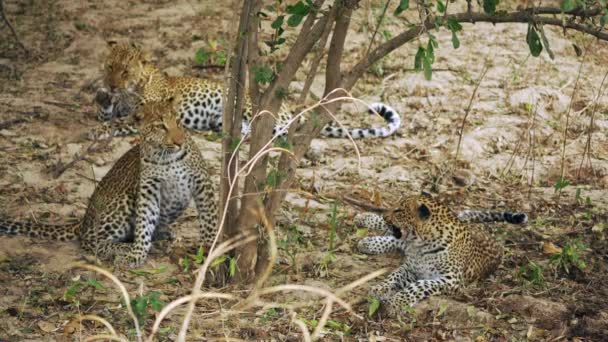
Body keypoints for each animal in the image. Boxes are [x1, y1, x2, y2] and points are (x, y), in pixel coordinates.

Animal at [0, 97, 218, 268]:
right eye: (160, 126)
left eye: (179, 123)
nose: (179, 142)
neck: (166, 156)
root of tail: (83, 220)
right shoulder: (148, 189)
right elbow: (143, 224)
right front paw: (137, 253)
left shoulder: (201, 181)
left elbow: (209, 217)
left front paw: (210, 244)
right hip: (123, 200)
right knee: (90, 241)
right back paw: (127, 247)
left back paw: (163, 236)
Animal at [88, 41, 402, 140]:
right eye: (109, 67)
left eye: (125, 71)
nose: (112, 83)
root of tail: (291, 110)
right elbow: (109, 114)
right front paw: (102, 97)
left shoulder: (149, 114)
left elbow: (119, 123)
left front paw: (97, 131)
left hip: (254, 108)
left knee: (274, 132)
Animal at [356, 195, 528, 316]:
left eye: (399, 211)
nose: (385, 216)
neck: (421, 245)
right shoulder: (409, 267)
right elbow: (393, 276)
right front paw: (380, 288)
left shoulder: (450, 279)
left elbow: (417, 286)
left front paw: (396, 302)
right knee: (393, 238)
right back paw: (366, 223)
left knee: (395, 240)